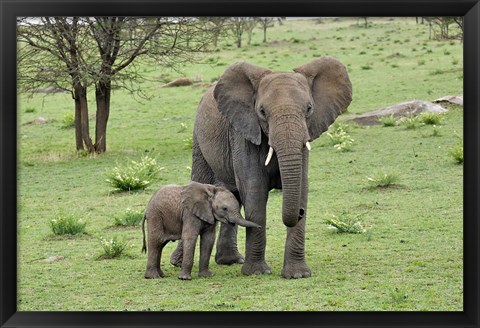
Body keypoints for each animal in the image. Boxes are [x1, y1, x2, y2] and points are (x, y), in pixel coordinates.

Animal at [171, 57, 350, 280]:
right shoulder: (244, 132)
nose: (299, 213)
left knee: (233, 195)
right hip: (198, 139)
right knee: (202, 181)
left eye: (309, 109)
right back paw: (178, 263)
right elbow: (254, 191)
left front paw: (298, 275)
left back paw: (229, 261)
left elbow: (301, 187)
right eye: (262, 112)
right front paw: (257, 272)